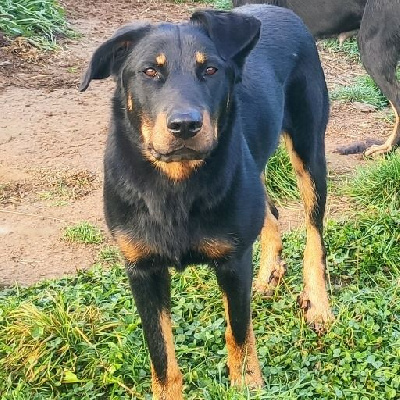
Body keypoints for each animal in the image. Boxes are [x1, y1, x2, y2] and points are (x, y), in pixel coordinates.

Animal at [80, 4, 332, 398]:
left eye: (210, 69)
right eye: (150, 71)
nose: (185, 125)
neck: (175, 184)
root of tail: (280, 10)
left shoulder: (233, 260)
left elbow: (239, 332)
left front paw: (246, 383)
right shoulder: (142, 269)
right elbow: (161, 353)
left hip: (309, 148)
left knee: (314, 232)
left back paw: (318, 304)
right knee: (270, 210)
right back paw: (268, 274)